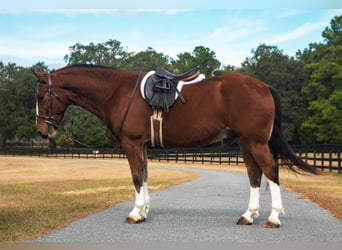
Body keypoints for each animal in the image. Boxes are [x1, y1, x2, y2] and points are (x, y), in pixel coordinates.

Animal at [33, 64, 316, 229]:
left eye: (40, 96)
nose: (42, 130)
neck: (117, 92)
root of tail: (264, 86)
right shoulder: (142, 146)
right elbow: (145, 176)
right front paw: (144, 211)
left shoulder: (132, 144)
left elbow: (136, 177)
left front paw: (135, 213)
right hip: (245, 143)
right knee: (254, 174)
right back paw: (248, 215)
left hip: (255, 142)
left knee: (270, 170)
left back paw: (273, 217)